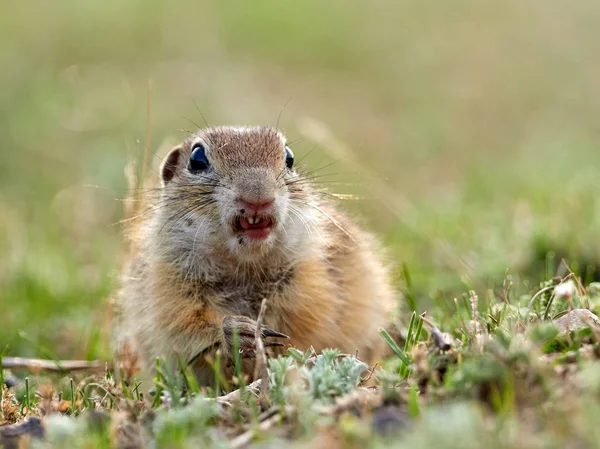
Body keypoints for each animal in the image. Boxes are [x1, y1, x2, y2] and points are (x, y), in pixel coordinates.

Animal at [116, 125, 398, 384]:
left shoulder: (310, 283)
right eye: (197, 159)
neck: (244, 266)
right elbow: (183, 328)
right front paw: (237, 333)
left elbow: (304, 331)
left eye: (289, 158)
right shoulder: (167, 287)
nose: (258, 198)